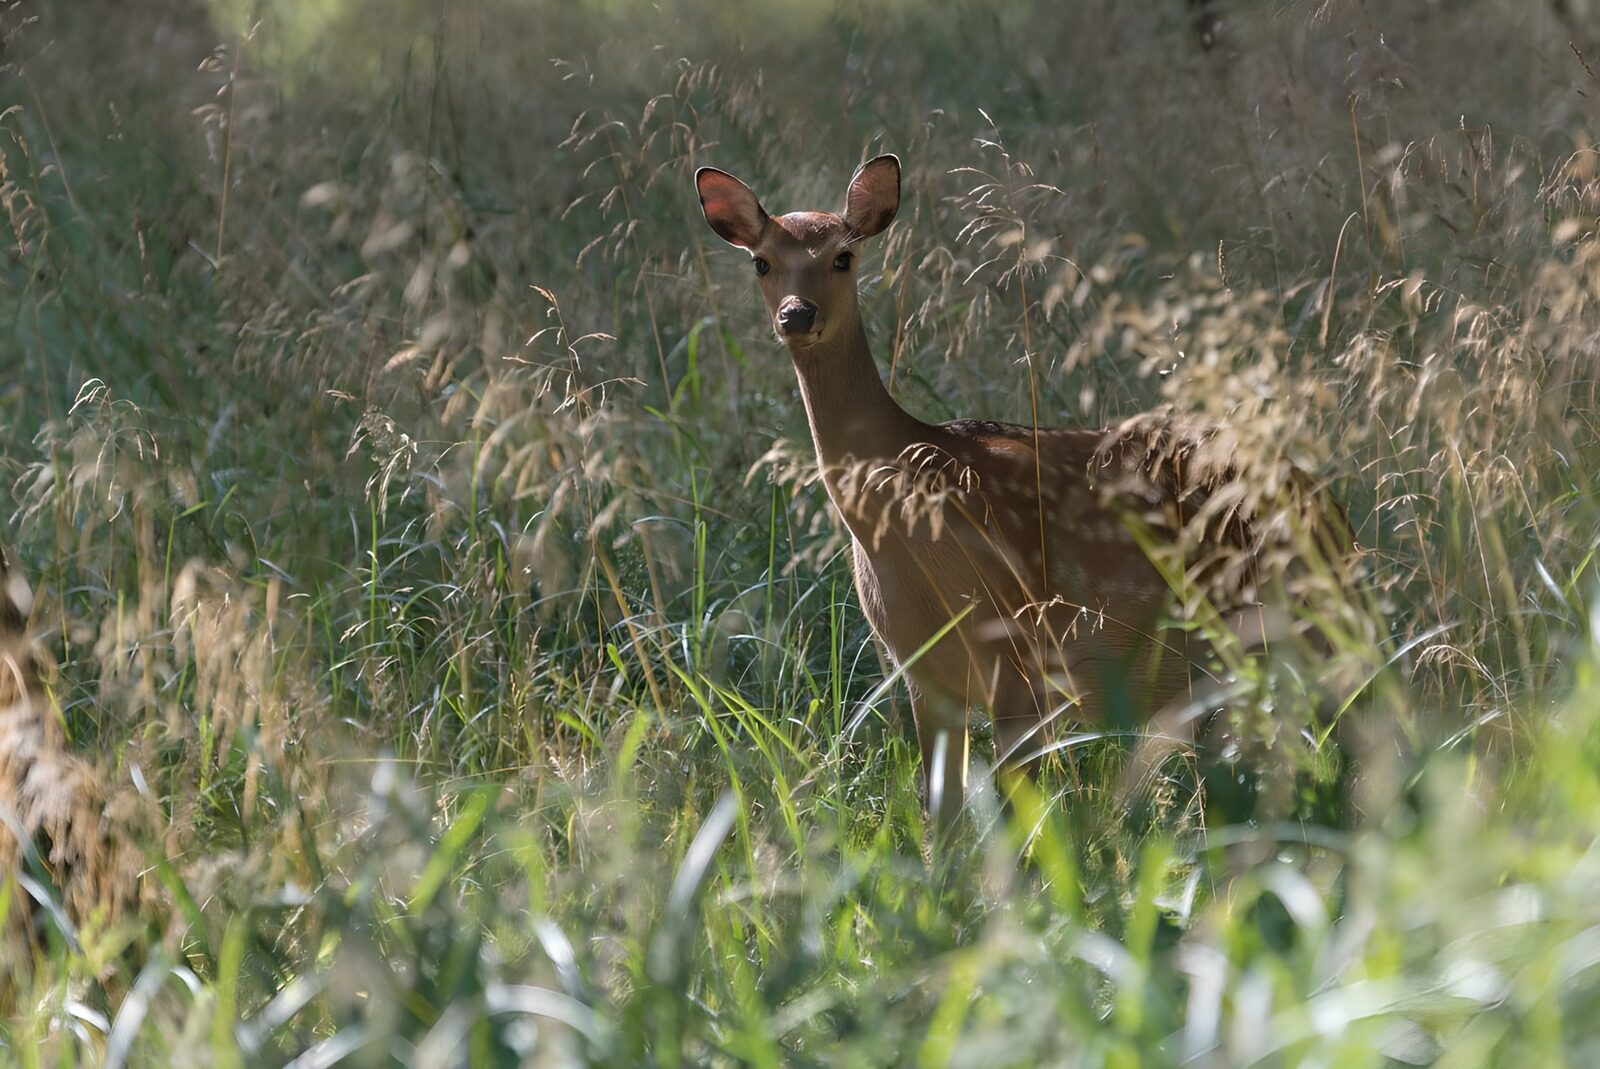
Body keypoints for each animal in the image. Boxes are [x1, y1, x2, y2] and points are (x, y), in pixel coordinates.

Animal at [696, 155, 1343, 829]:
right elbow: (942, 820)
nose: (796, 315)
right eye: (761, 261)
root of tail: (1326, 500)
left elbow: (1019, 822)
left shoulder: (1021, 657)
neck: (904, 529)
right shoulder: (922, 673)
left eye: (843, 256)